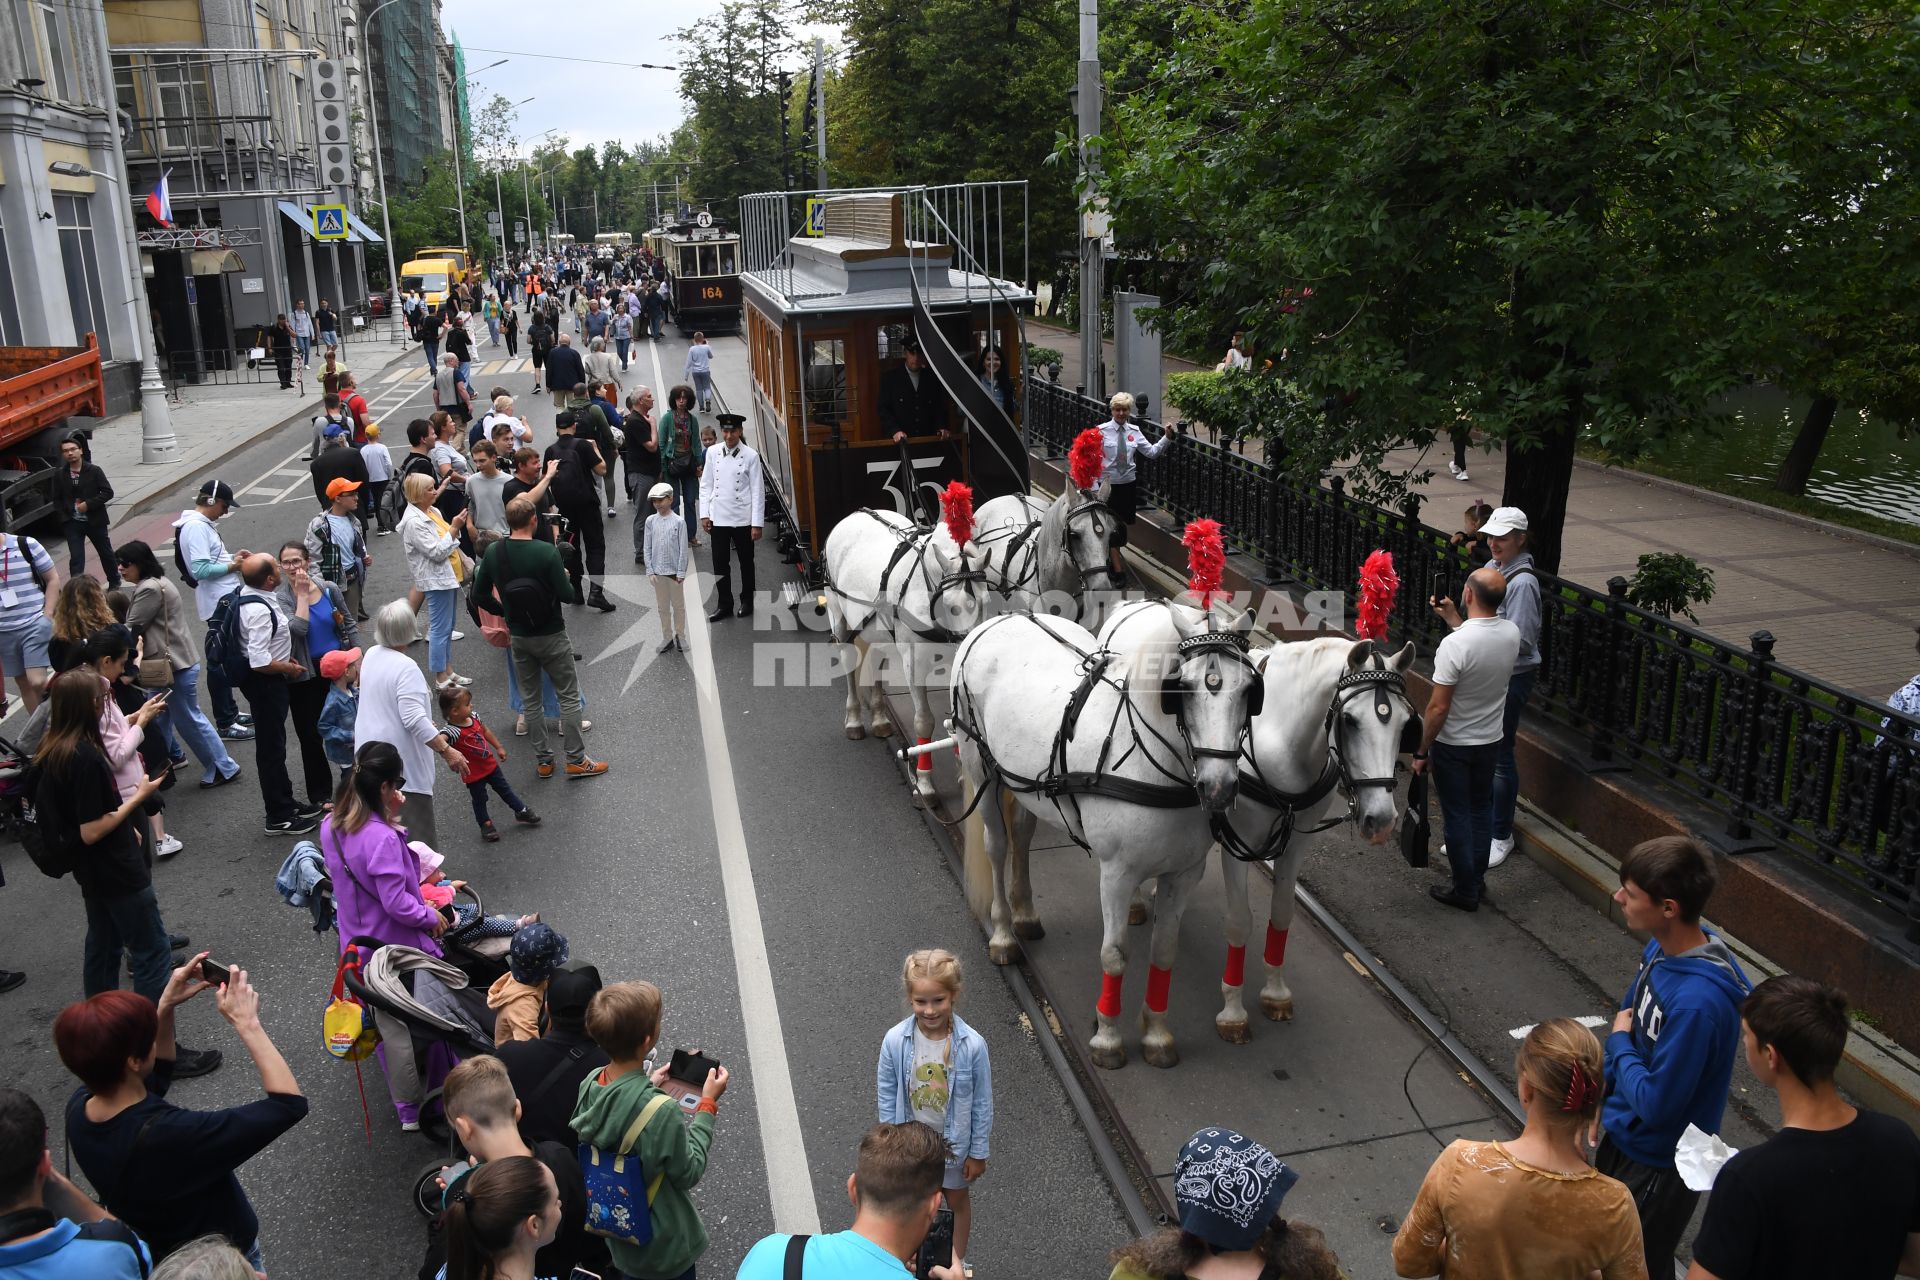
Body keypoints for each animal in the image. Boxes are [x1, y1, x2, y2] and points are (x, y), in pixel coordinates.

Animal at [821, 506, 990, 802]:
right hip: (838, 616)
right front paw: (924, 780)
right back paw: (853, 719)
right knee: (849, 665)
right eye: (951, 605)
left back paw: (879, 717)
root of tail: (855, 514)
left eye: (985, 602)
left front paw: (962, 773)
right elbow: (924, 721)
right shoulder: (914, 664)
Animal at [956, 602, 1259, 1074]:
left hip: (1026, 784)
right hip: (981, 767)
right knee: (998, 845)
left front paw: (1156, 1034)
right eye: (1184, 690)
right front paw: (1109, 1038)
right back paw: (1004, 932)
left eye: (1249, 690)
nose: (1219, 788)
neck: (1152, 765)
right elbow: (1115, 954)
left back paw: (1026, 914)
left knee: (1022, 836)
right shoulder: (1117, 874)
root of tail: (1003, 617)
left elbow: (1164, 951)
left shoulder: (1183, 874)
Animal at [1205, 637, 1420, 1043]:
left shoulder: (1295, 846)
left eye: (1406, 723)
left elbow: (1282, 912)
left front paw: (1275, 993)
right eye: (1350, 720)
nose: (1382, 820)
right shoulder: (1239, 844)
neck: (1280, 741)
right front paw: (1233, 1011)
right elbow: (1239, 921)